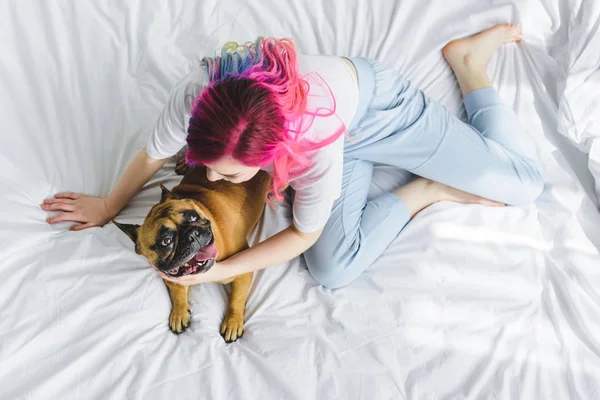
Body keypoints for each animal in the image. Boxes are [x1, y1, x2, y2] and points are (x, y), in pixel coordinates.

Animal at [113, 164, 272, 342]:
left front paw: (232, 322)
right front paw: (179, 313)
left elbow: (236, 298)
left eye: (193, 217)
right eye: (166, 241)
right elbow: (177, 291)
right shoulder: (172, 277)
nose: (191, 234)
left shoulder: (242, 272)